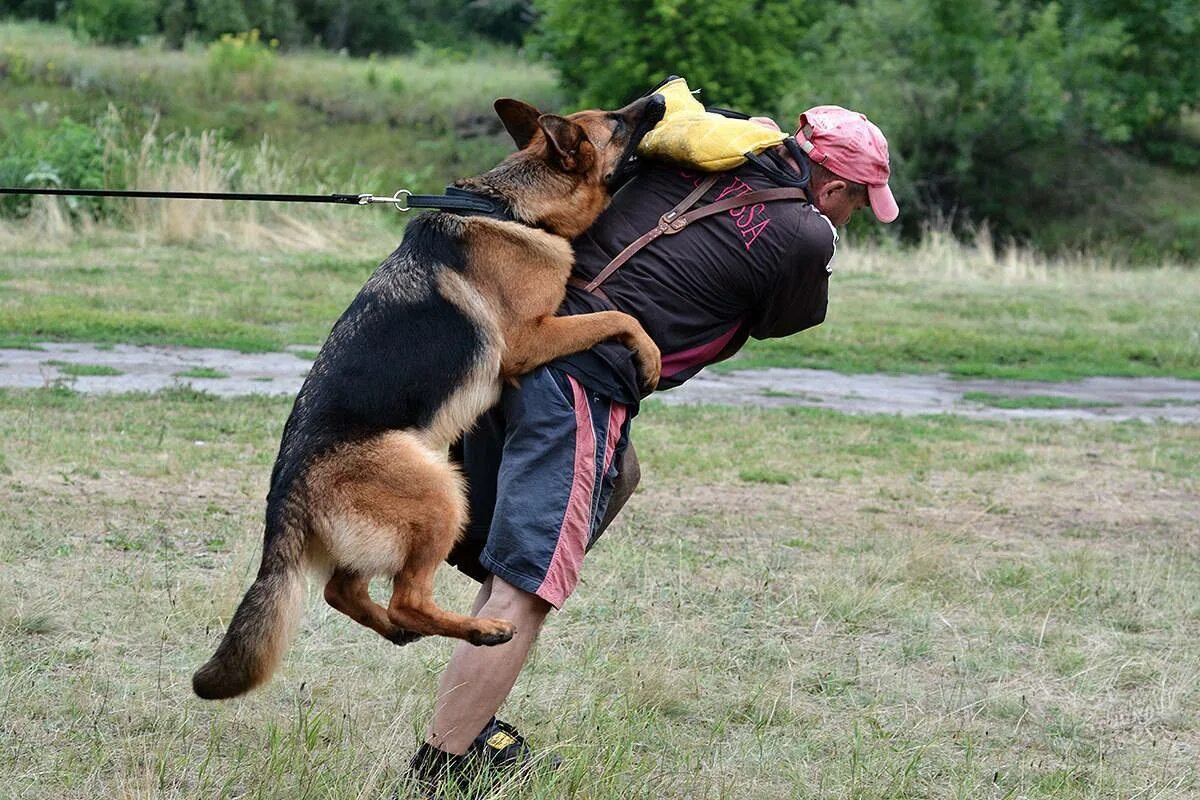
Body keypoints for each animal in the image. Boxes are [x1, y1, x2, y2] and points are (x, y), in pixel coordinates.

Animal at [192, 95, 672, 700]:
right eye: (616, 121)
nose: (662, 97)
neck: (510, 207)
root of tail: (286, 493)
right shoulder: (529, 339)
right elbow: (619, 317)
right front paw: (650, 356)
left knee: (343, 592)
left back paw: (400, 631)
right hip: (444, 493)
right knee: (406, 599)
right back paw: (481, 629)